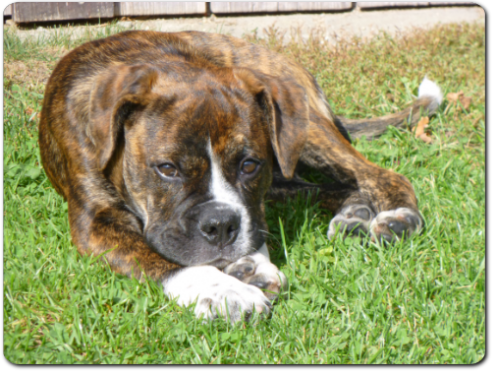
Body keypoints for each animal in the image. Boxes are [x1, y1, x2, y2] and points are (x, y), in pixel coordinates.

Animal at [39, 30, 442, 322]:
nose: (219, 225)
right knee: (324, 187)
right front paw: (226, 289)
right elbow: (162, 258)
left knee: (380, 175)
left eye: (249, 165)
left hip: (306, 132)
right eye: (167, 169)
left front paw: (248, 266)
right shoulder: (97, 222)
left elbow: (251, 224)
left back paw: (399, 218)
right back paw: (353, 215)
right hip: (288, 171)